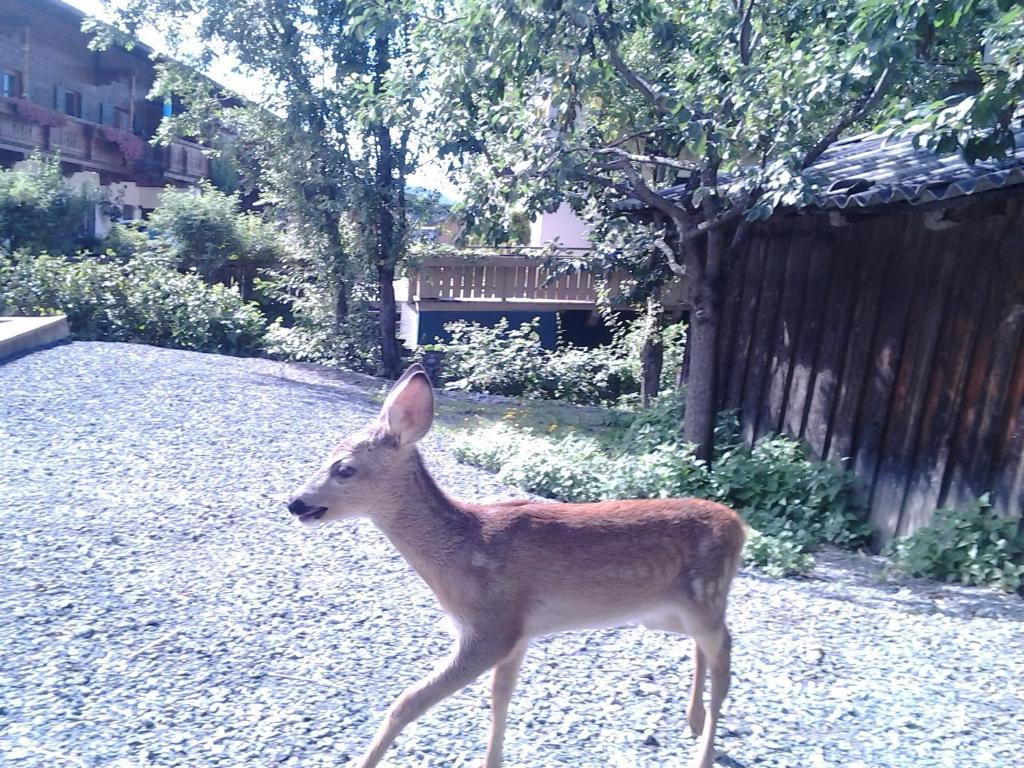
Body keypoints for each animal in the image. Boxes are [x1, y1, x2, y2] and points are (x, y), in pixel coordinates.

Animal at [288, 364, 745, 768]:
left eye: (344, 469)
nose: (295, 503)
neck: (463, 550)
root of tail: (739, 526)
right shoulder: (518, 634)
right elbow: (500, 699)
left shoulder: (493, 627)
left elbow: (407, 703)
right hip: (661, 613)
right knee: (705, 646)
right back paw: (693, 721)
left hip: (704, 596)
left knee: (724, 652)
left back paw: (703, 753)